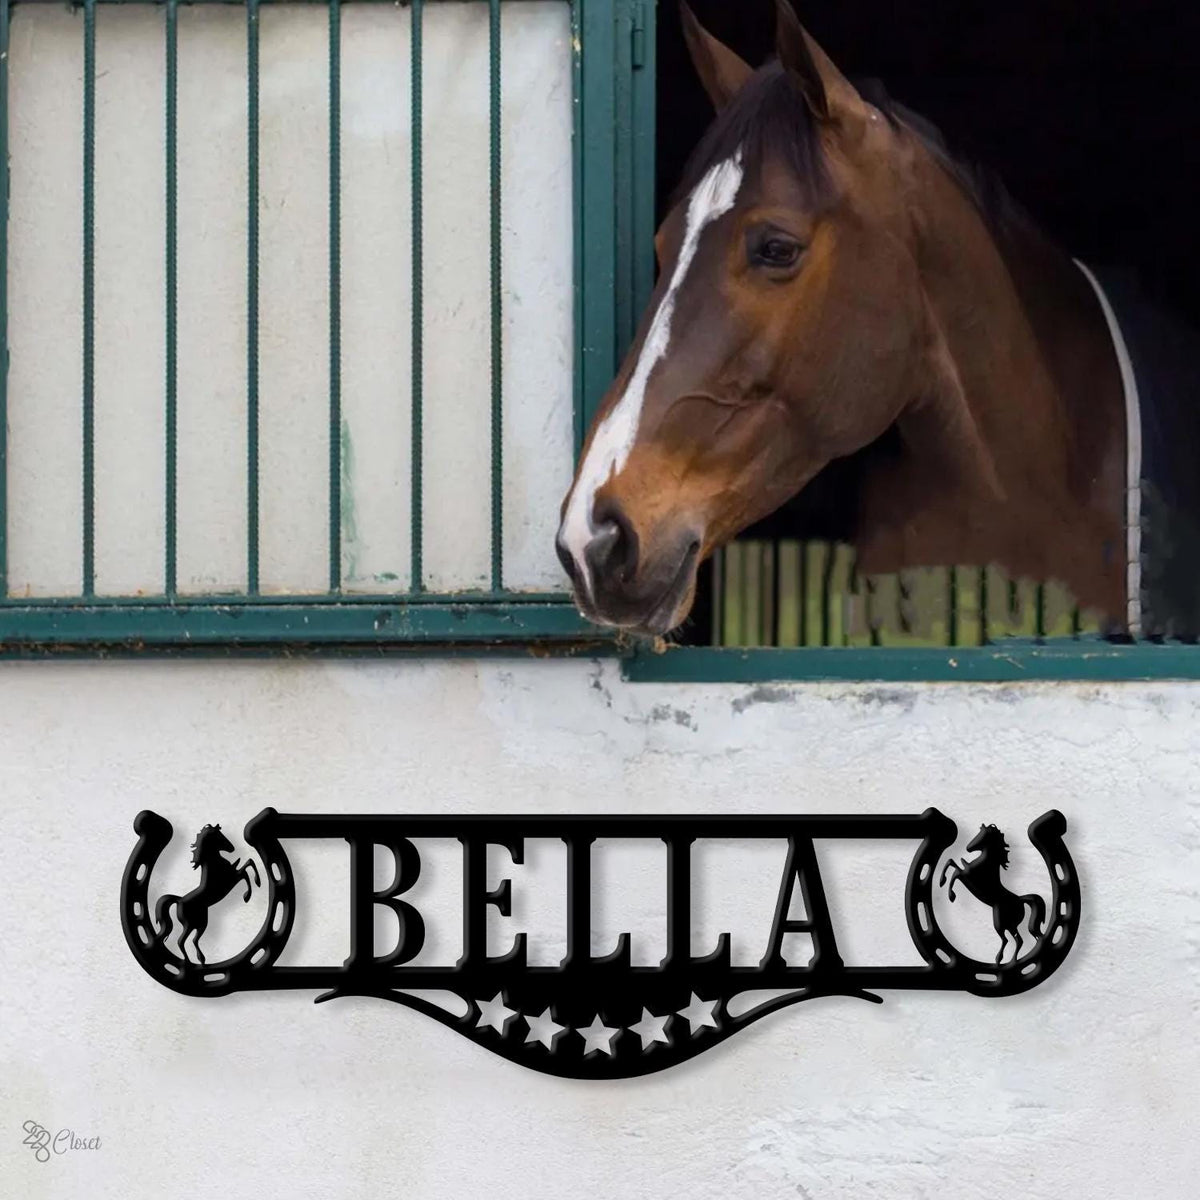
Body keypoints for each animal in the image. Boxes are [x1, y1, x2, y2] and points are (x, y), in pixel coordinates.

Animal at [154, 824, 260, 966]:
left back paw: (202, 960)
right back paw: (188, 961)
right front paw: (248, 894)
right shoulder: (232, 879)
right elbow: (246, 869)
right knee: (182, 941)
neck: (215, 865)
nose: (232, 848)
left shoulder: (233, 877)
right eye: (219, 836)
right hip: (191, 924)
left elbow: (248, 863)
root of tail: (179, 900)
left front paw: (254, 886)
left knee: (193, 940)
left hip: (200, 923)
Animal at [939, 824, 1046, 966]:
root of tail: (1020, 900)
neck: (985, 866)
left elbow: (955, 871)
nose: (968, 847)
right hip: (1010, 925)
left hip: (1000, 923)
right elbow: (951, 862)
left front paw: (950, 894)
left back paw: (999, 959)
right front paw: (943, 883)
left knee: (1007, 940)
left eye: (981, 836)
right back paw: (1012, 961)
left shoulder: (967, 876)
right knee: (1018, 940)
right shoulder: (966, 875)